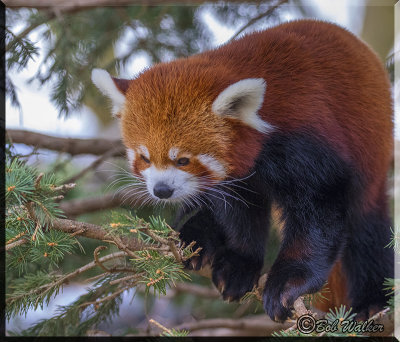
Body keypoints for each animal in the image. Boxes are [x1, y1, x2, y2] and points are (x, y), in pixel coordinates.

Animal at [91, 20, 394, 322]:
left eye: (183, 160)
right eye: (144, 157)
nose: (162, 190)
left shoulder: (307, 142)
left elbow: (319, 209)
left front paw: (288, 283)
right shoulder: (237, 179)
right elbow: (240, 214)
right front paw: (239, 264)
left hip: (371, 148)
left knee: (366, 230)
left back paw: (373, 303)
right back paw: (196, 236)